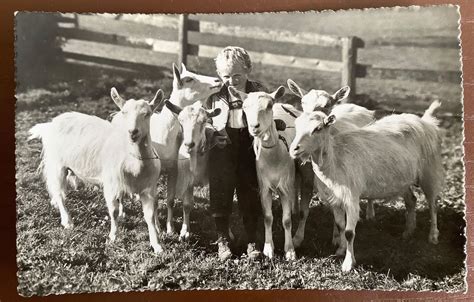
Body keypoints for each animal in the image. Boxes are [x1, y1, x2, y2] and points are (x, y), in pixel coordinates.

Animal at [28, 87, 165, 252]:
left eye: (147, 114)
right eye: (124, 112)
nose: (133, 132)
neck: (134, 163)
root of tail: (51, 123)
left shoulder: (148, 189)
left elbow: (149, 216)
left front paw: (157, 245)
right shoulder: (110, 185)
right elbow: (113, 212)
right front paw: (112, 238)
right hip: (56, 164)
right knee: (60, 194)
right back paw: (67, 221)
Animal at [288, 101, 444, 272]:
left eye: (318, 128)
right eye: (296, 125)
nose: (293, 149)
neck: (335, 160)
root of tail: (426, 122)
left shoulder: (351, 197)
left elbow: (349, 232)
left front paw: (348, 263)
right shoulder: (335, 198)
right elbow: (340, 225)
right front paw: (341, 249)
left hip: (429, 172)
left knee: (433, 205)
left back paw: (433, 236)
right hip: (403, 180)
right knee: (412, 200)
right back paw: (408, 231)